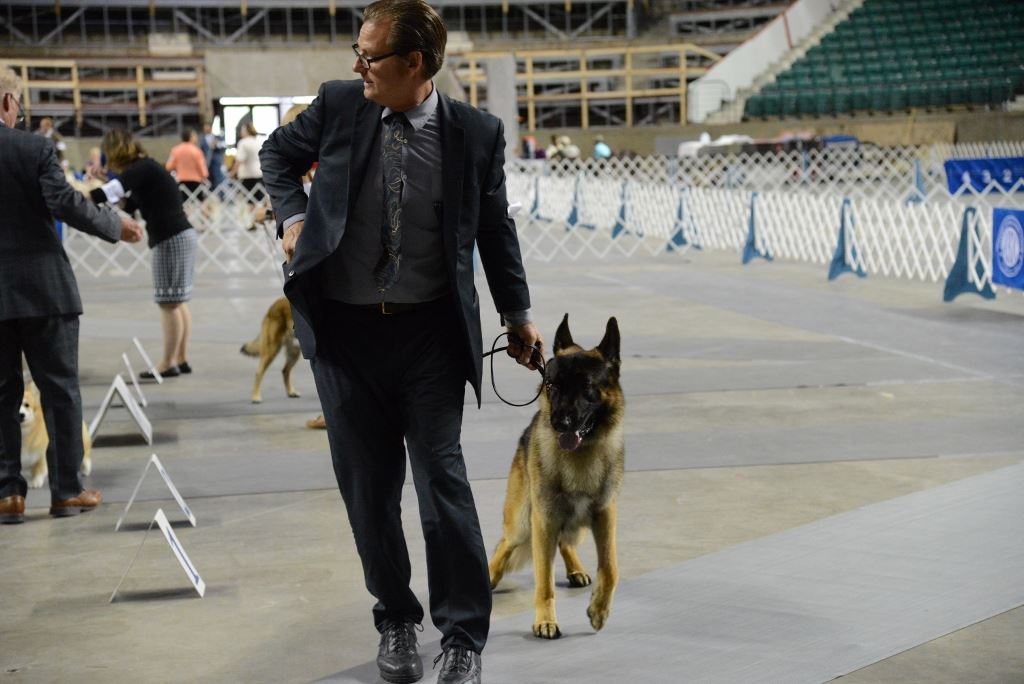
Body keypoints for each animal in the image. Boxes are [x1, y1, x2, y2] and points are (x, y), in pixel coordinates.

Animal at [487, 315, 622, 643]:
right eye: (552, 385)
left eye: (587, 386)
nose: (559, 422)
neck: (580, 457)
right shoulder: (543, 522)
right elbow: (544, 581)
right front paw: (545, 621)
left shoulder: (605, 516)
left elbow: (610, 568)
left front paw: (599, 610)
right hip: (522, 524)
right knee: (504, 545)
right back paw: (489, 576)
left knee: (566, 540)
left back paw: (575, 569)